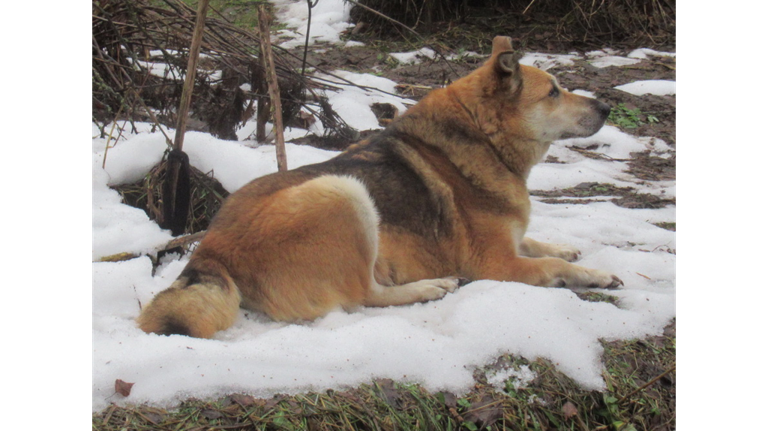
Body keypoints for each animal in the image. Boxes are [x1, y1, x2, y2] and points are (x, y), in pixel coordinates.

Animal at [138, 36, 620, 340]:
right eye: (553, 92)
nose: (607, 106)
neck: (484, 137)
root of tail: (211, 248)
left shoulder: (513, 241)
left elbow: (538, 243)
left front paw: (567, 248)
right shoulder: (496, 263)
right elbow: (547, 267)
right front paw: (595, 274)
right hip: (344, 194)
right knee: (363, 296)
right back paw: (429, 287)